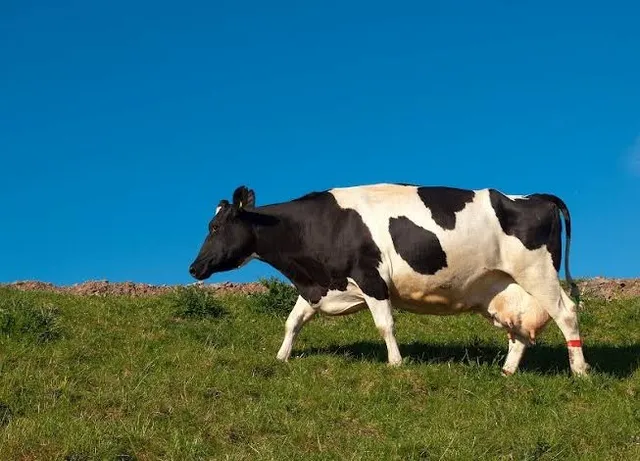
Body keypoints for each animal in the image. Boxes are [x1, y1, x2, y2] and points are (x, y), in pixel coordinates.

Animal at [188, 183, 589, 376]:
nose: (194, 268)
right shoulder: (320, 285)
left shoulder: (371, 278)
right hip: (503, 287)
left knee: (567, 313)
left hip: (538, 272)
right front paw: (281, 357)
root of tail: (535, 196)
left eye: (215, 226)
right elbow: (293, 322)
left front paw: (396, 364)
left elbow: (385, 324)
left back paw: (580, 371)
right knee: (519, 331)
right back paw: (506, 373)